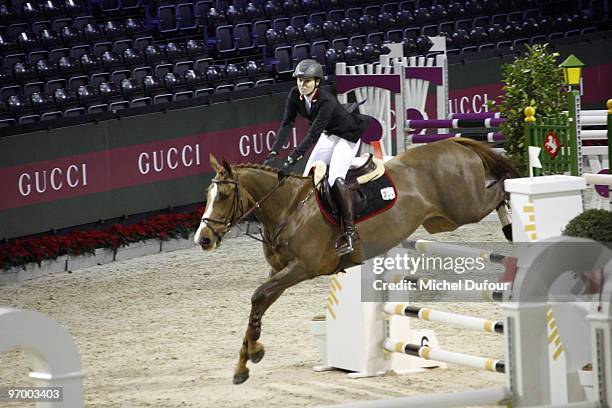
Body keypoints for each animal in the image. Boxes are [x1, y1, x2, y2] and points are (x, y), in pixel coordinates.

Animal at [195, 139, 516, 384]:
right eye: (208, 195)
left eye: (224, 195)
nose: (203, 239)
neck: (288, 207)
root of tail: (453, 143)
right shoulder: (279, 270)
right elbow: (259, 303)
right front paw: (246, 361)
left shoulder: (302, 268)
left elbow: (258, 296)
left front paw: (253, 354)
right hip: (442, 222)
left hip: (466, 207)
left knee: (501, 188)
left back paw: (513, 224)